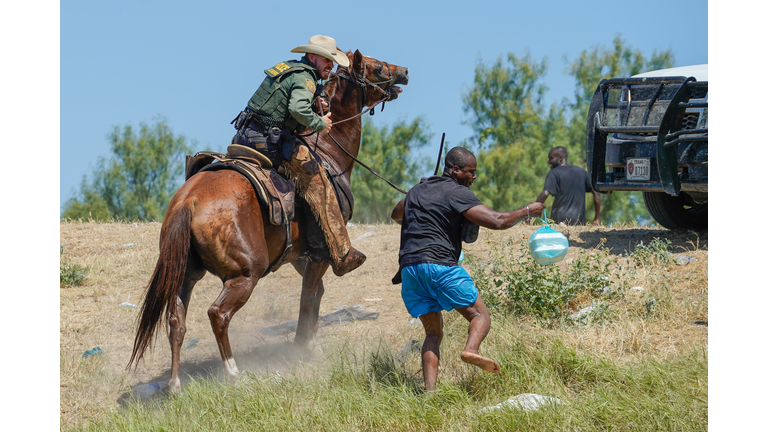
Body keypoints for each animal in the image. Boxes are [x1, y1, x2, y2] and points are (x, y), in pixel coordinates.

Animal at [129, 50, 412, 392]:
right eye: (377, 66)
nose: (404, 71)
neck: (328, 150)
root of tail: (190, 201)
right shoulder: (320, 253)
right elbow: (308, 297)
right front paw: (304, 348)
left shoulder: (299, 256)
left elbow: (315, 294)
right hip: (245, 274)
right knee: (218, 314)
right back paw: (233, 372)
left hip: (186, 274)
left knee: (176, 320)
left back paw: (174, 384)